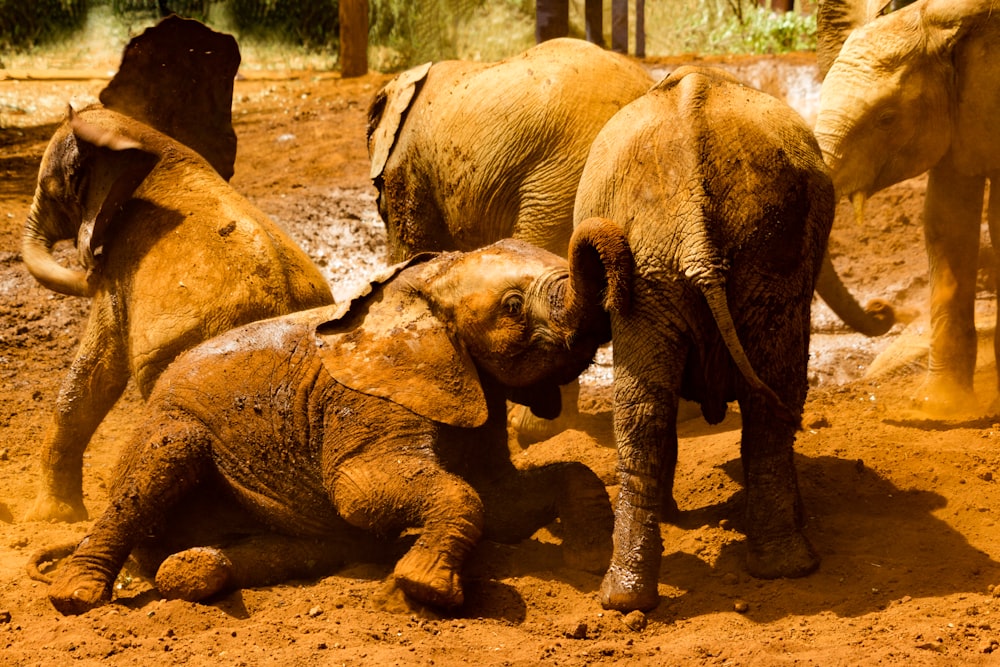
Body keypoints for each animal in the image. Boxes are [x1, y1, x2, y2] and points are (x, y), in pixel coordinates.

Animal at [21, 17, 334, 528]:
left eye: (51, 190)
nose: (85, 269)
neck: (142, 139)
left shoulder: (120, 265)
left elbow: (96, 371)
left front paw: (50, 520)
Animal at [37, 227, 632, 620]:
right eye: (512, 306)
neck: (418, 285)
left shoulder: (468, 393)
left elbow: (504, 496)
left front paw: (589, 563)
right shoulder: (366, 403)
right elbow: (362, 492)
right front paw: (425, 591)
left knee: (298, 550)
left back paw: (192, 568)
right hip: (165, 429)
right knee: (165, 456)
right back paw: (77, 596)